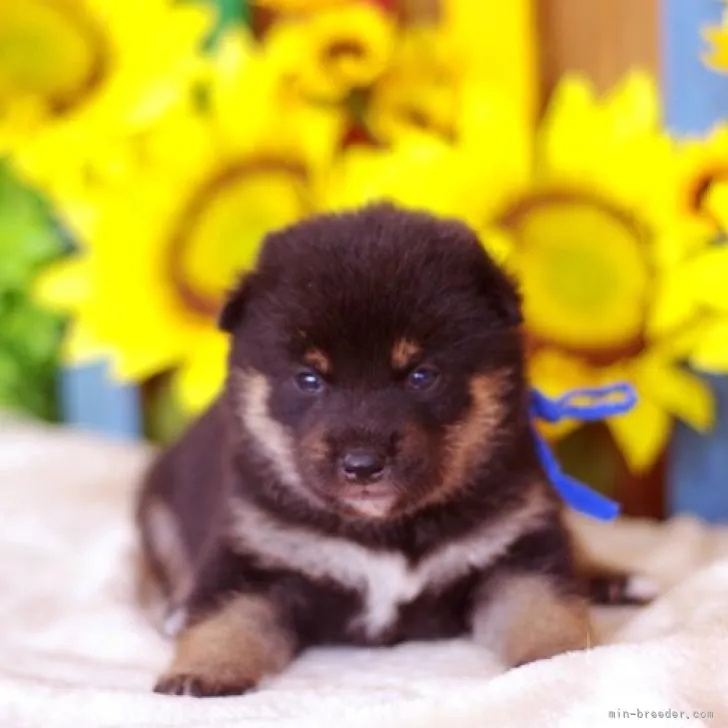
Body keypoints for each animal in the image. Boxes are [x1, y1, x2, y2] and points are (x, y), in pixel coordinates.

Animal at [136, 202, 656, 696]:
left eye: (422, 375)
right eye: (308, 379)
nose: (363, 464)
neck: (386, 530)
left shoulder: (517, 548)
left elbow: (544, 610)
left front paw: (559, 661)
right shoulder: (254, 555)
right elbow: (222, 620)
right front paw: (200, 672)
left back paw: (613, 579)